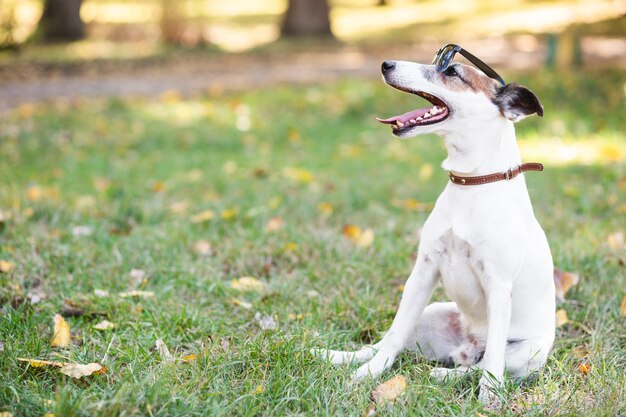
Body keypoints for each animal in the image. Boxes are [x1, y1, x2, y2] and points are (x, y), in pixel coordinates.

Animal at [310, 53, 552, 404]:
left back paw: (446, 374)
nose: (386, 64)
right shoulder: (423, 271)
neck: (472, 183)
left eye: (450, 71)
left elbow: (493, 360)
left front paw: (488, 398)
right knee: (387, 341)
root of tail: (467, 346)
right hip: (429, 313)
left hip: (527, 352)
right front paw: (370, 374)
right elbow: (393, 335)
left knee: (482, 365)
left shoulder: (498, 284)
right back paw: (338, 356)